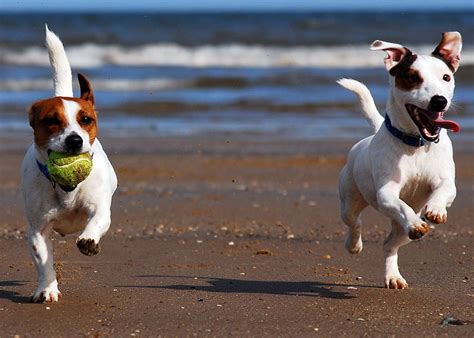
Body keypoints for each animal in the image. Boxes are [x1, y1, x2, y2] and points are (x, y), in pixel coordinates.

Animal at [21, 25, 118, 302]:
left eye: (85, 119)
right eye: (52, 121)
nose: (75, 140)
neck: (67, 191)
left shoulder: (100, 208)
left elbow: (96, 221)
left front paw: (88, 241)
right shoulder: (38, 229)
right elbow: (44, 261)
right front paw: (47, 288)